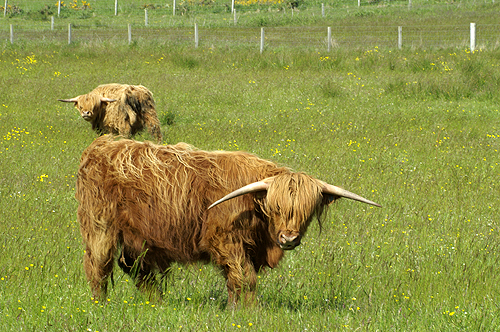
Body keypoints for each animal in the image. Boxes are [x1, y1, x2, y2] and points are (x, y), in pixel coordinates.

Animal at [76, 134, 378, 304]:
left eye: (308, 211)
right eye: (276, 207)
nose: (289, 238)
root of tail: (99, 147)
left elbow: (235, 281)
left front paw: (235, 310)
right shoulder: (224, 240)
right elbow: (244, 278)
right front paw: (250, 312)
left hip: (136, 238)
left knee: (137, 269)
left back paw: (156, 304)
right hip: (100, 228)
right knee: (98, 268)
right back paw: (100, 307)